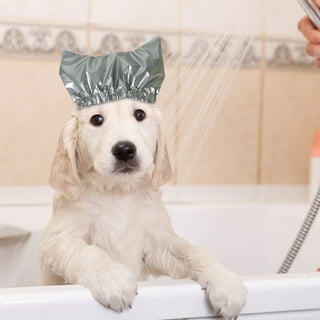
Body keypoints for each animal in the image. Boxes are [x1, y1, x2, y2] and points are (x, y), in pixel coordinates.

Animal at [39, 99, 245, 318]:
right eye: (97, 119)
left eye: (139, 114)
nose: (124, 149)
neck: (116, 191)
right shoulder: (59, 239)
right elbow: (89, 252)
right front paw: (113, 279)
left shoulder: (158, 241)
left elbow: (193, 252)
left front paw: (226, 281)